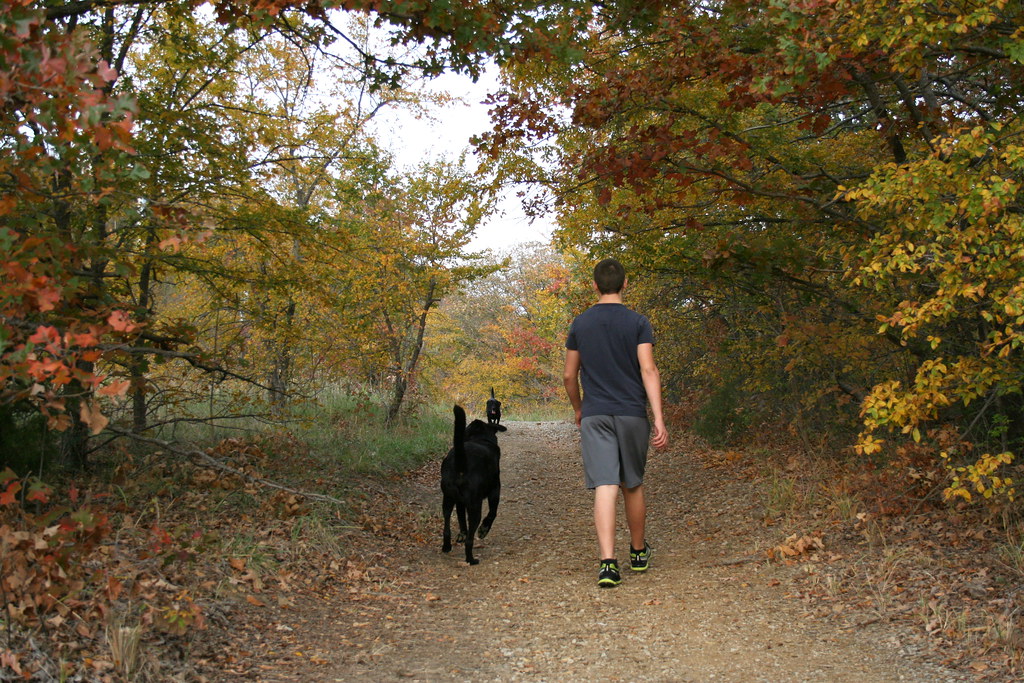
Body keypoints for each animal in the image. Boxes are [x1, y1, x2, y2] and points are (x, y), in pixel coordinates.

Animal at [440, 405, 503, 565]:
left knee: (447, 528)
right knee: (470, 539)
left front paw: (462, 533)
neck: (479, 438)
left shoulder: (460, 502)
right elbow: (493, 513)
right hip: (475, 506)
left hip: (448, 500)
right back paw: (471, 559)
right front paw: (484, 530)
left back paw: (447, 547)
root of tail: (461, 463)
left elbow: (461, 518)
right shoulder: (495, 490)